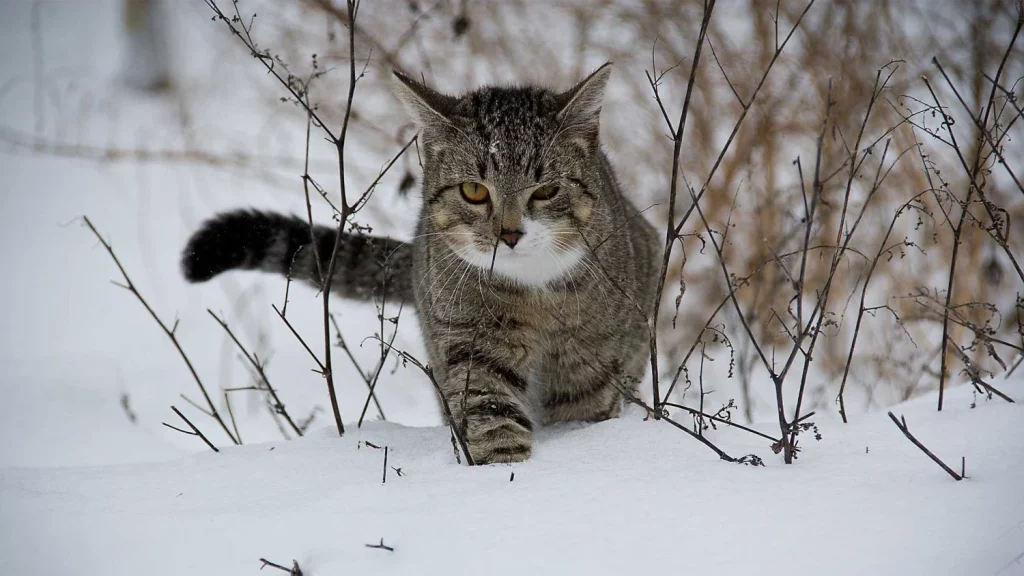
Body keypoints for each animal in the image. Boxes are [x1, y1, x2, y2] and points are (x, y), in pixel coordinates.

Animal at [182, 63, 663, 461]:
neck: (532, 293)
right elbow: (491, 415)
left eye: (546, 190)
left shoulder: (590, 356)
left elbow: (582, 409)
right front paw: (505, 473)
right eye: (474, 190)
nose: (508, 234)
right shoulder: (469, 342)